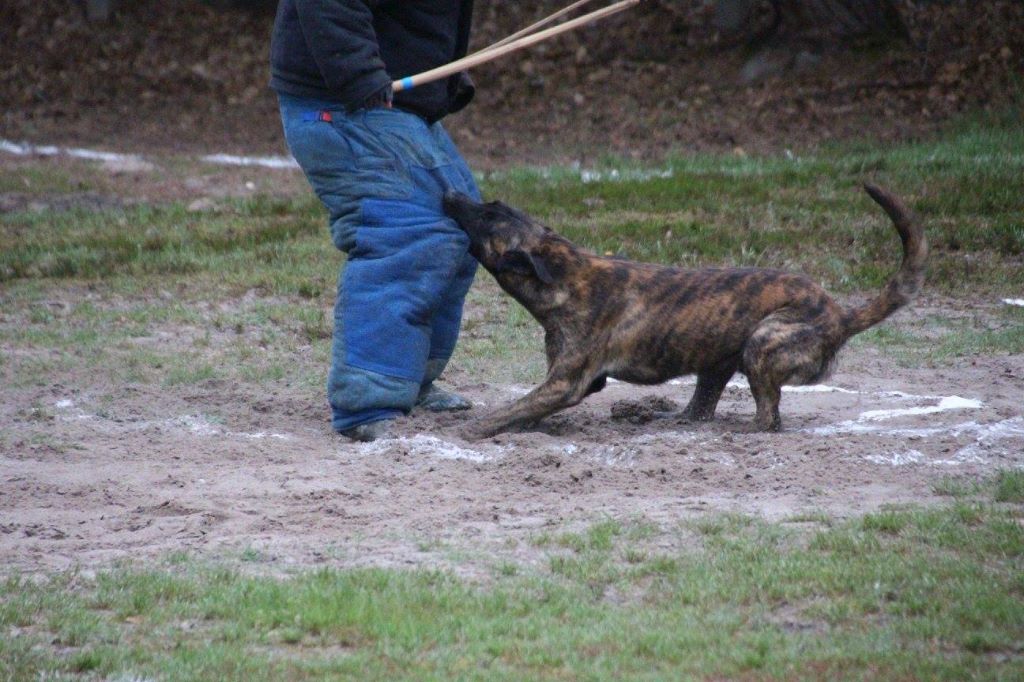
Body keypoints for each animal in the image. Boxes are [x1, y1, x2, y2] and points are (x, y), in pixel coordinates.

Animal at [444, 183, 925, 438]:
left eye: (487, 217)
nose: (448, 192)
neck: (567, 272)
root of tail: (841, 315)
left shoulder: (566, 383)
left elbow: (511, 408)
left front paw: (472, 431)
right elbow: (523, 410)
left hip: (763, 343)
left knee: (767, 417)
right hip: (718, 361)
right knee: (699, 409)